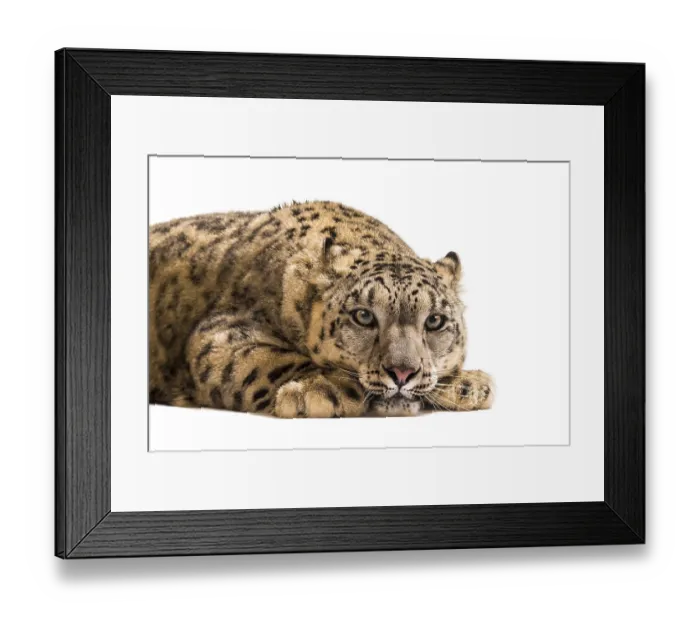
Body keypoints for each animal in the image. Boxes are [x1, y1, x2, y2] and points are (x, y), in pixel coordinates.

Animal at [149, 201, 494, 418]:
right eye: (363, 316)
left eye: (434, 321)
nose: (402, 372)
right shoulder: (221, 333)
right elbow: (265, 360)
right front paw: (322, 390)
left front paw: (470, 385)